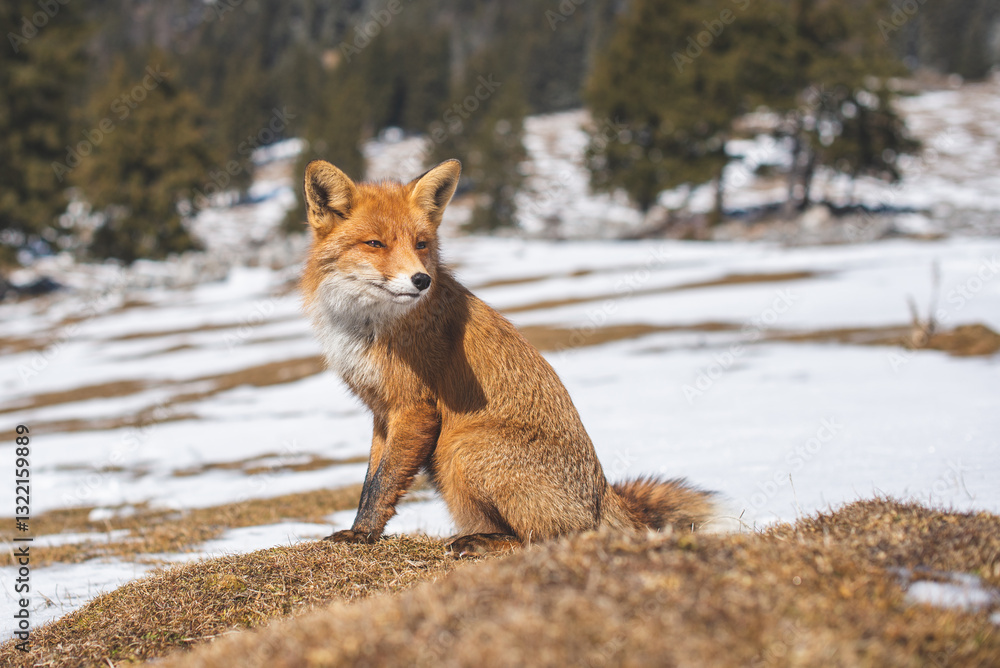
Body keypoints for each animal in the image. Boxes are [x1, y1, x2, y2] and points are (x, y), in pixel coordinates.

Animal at [300, 158, 718, 555]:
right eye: (375, 243)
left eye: (421, 244)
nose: (422, 280)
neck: (368, 328)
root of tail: (602, 496)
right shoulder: (382, 412)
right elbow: (371, 480)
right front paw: (361, 531)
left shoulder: (415, 409)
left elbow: (382, 484)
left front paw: (361, 535)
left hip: (460, 449)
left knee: (551, 537)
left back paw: (479, 542)